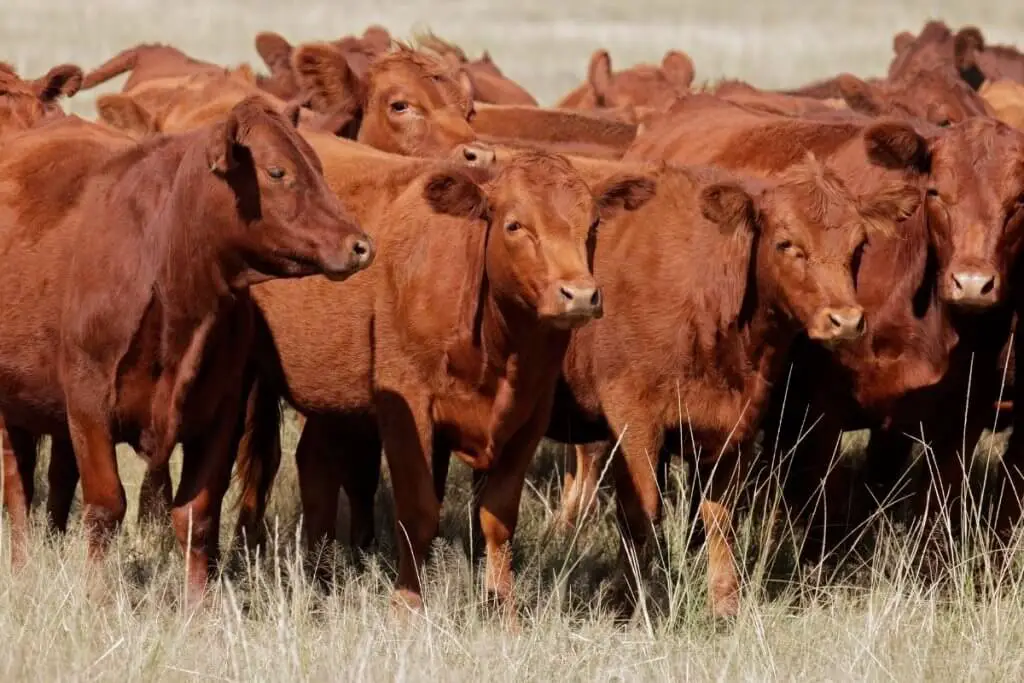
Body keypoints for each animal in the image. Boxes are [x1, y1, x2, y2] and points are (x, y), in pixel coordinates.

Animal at [0, 96, 372, 598]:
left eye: (317, 165)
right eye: (277, 172)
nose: (359, 245)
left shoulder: (221, 413)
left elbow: (197, 516)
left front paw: (199, 605)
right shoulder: (87, 403)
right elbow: (105, 507)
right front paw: (98, 596)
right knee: (17, 484)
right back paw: (21, 565)